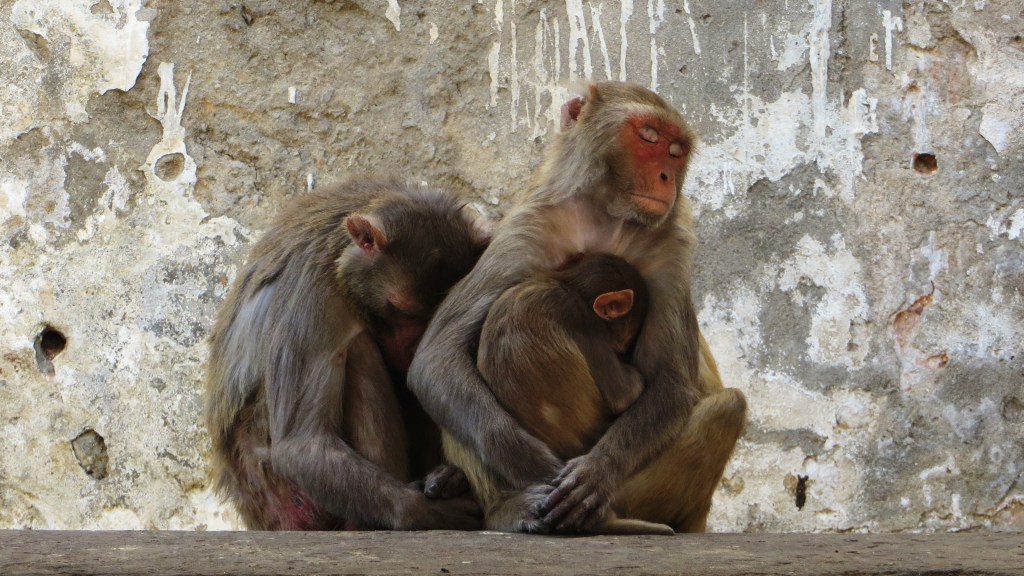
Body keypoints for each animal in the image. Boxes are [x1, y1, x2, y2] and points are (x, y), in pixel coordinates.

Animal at [204, 178, 487, 531]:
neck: (340, 255)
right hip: (290, 494)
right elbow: (303, 445)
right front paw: (425, 512)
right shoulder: (311, 289)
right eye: (402, 310)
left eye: (433, 316)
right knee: (358, 349)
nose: (412, 347)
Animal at [410, 82, 747, 534]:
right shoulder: (526, 228)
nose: (666, 177)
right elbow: (437, 357)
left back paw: (602, 516)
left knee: (728, 408)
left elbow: (672, 382)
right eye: (649, 137)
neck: (605, 214)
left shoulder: (672, 249)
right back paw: (505, 508)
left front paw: (597, 474)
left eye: (677, 150)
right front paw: (530, 466)